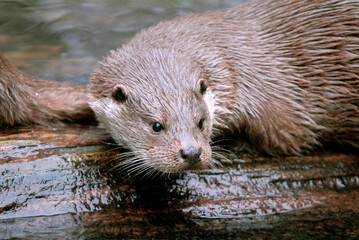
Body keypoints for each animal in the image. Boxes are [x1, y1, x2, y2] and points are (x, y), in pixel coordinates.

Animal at [0, 0, 359, 172]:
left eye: (201, 122)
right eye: (156, 126)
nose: (191, 152)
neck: (238, 64)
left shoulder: (280, 101)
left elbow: (287, 138)